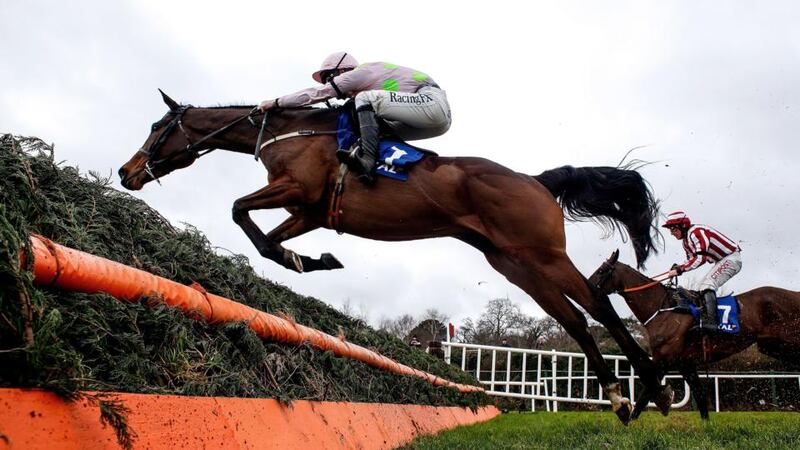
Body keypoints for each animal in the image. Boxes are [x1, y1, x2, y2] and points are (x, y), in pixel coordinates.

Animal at [117, 90, 668, 422]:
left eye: (157, 126)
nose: (127, 171)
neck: (289, 130)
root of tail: (536, 180)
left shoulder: (298, 189)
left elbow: (238, 211)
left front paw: (304, 260)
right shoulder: (311, 210)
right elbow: (265, 240)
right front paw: (311, 261)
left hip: (541, 253)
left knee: (597, 304)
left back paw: (650, 387)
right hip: (513, 263)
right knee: (573, 319)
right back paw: (625, 396)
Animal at [588, 250, 800, 418]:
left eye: (601, 271)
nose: (586, 286)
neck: (665, 309)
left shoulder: (663, 359)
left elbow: (644, 395)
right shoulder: (685, 363)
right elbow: (700, 397)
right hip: (772, 346)